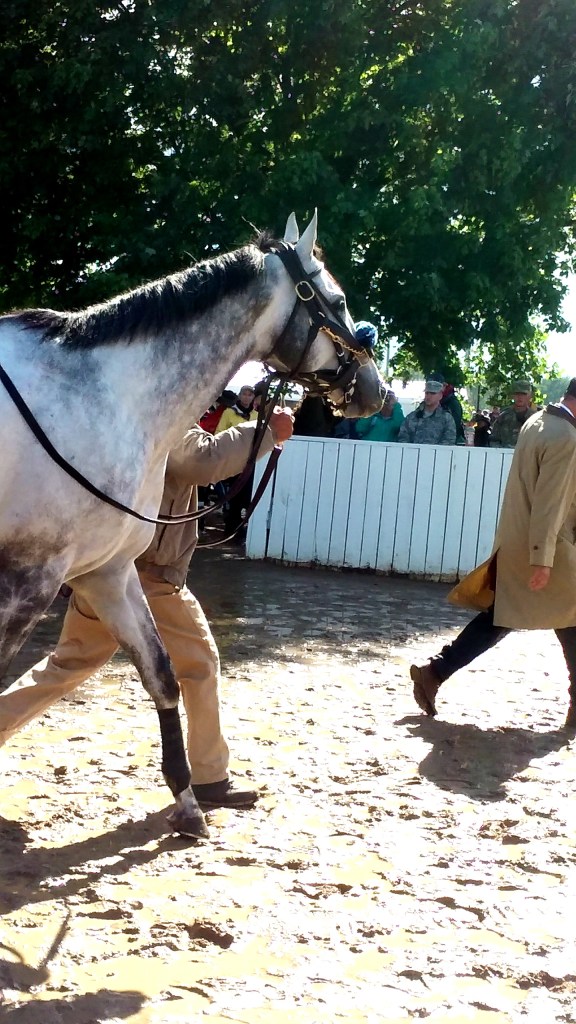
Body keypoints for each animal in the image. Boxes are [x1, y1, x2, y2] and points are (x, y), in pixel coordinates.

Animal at [0, 211, 383, 838]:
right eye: (338, 299)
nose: (377, 391)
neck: (101, 398)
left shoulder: (107, 573)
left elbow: (163, 673)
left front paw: (187, 799)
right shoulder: (28, 581)